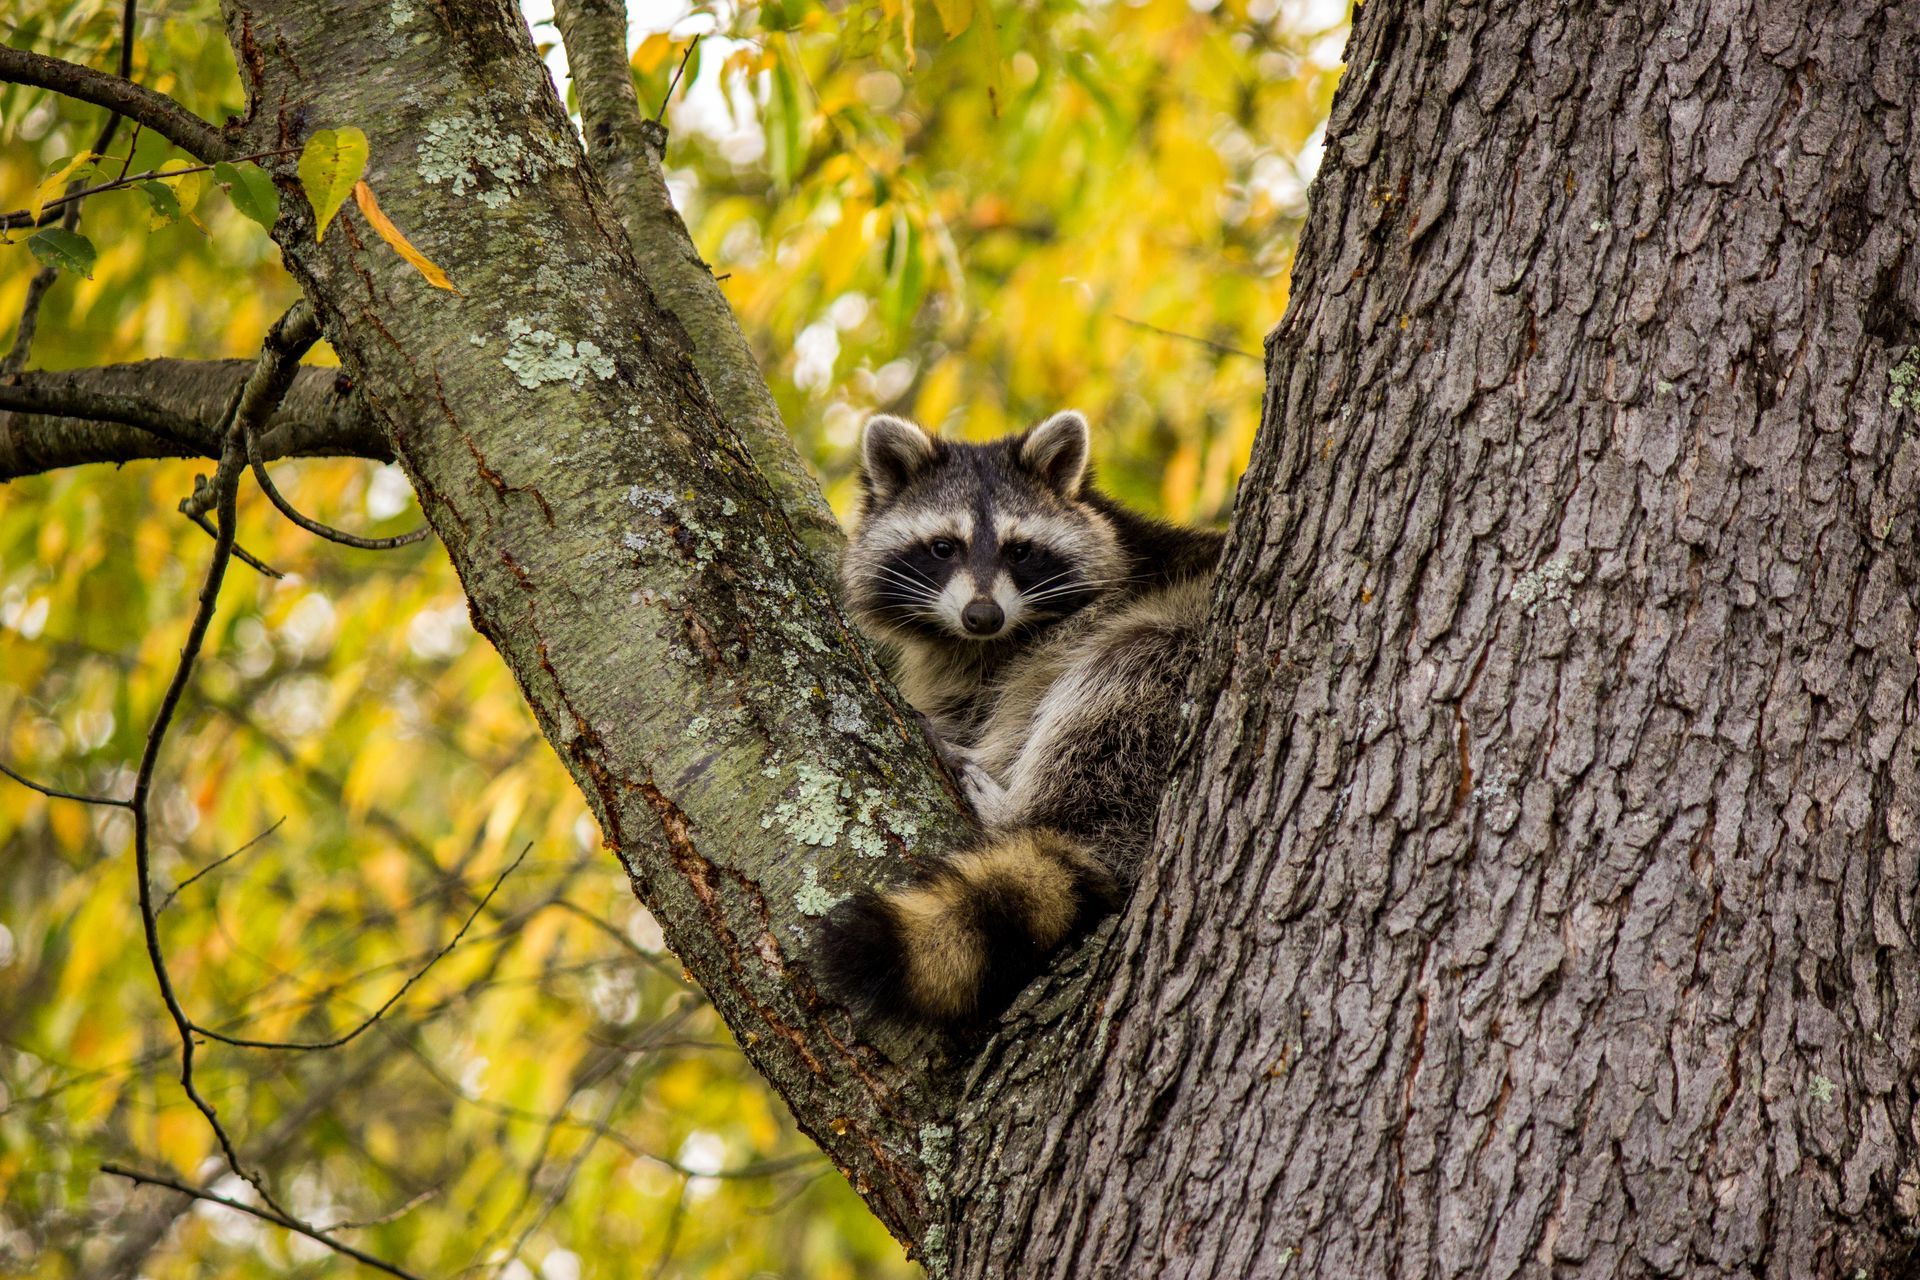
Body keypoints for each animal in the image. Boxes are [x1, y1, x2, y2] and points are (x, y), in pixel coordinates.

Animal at [816, 410, 1224, 1027]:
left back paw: (1019, 809)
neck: (985, 644)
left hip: (1177, 651)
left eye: (1020, 551)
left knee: (1124, 673)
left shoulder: (1082, 621)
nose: (982, 615)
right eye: (943, 547)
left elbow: (1030, 695)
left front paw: (984, 751)